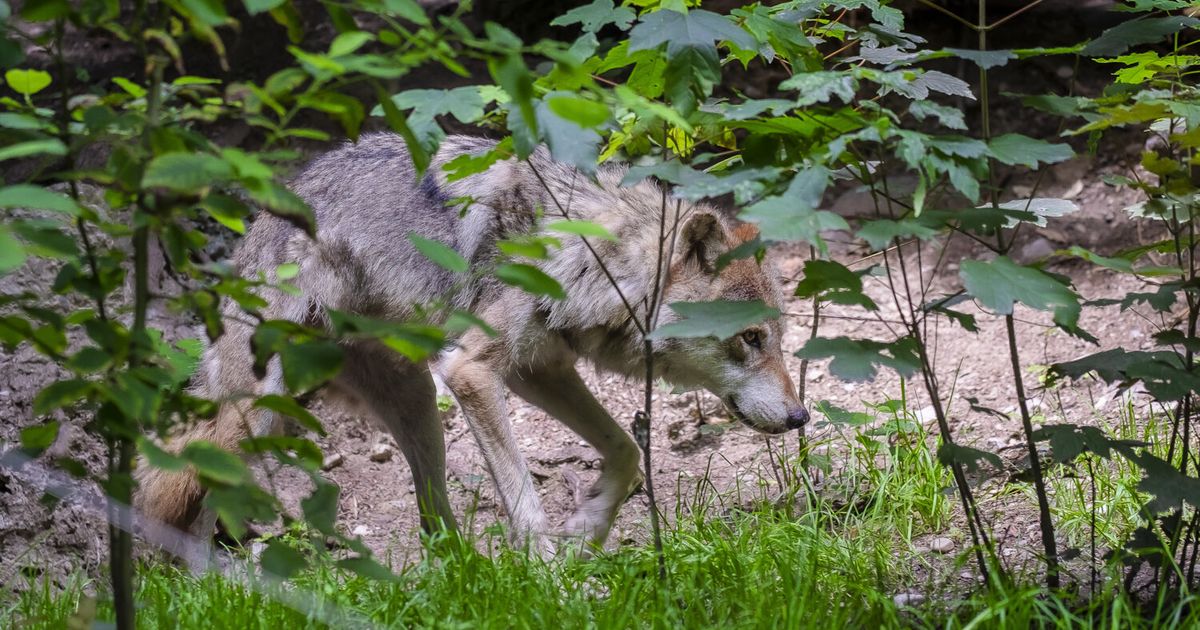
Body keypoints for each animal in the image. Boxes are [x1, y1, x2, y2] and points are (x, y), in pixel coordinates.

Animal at [136, 134, 809, 556]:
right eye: (751, 338)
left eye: (775, 339)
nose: (801, 416)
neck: (591, 251)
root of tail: (261, 218)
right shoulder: (472, 372)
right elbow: (525, 499)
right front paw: (551, 575)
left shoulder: (539, 369)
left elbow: (625, 450)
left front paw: (587, 529)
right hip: (258, 413)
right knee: (178, 499)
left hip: (416, 409)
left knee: (434, 525)